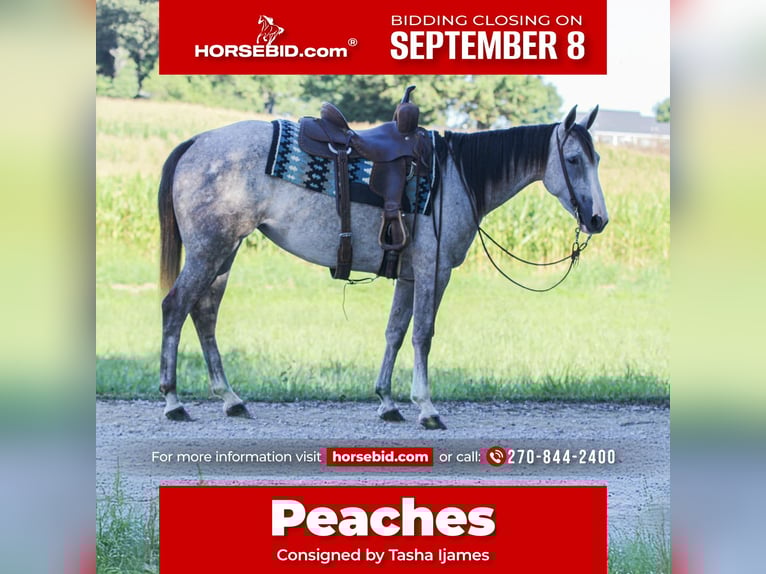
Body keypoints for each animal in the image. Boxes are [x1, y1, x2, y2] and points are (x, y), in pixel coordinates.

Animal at [157, 105, 608, 429]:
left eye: (597, 158)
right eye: (572, 159)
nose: (598, 219)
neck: (454, 176)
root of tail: (196, 142)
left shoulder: (408, 275)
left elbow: (395, 332)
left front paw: (388, 403)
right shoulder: (433, 271)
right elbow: (423, 333)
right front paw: (426, 408)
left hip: (224, 252)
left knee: (205, 313)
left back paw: (231, 399)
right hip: (208, 251)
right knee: (175, 307)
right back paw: (173, 401)